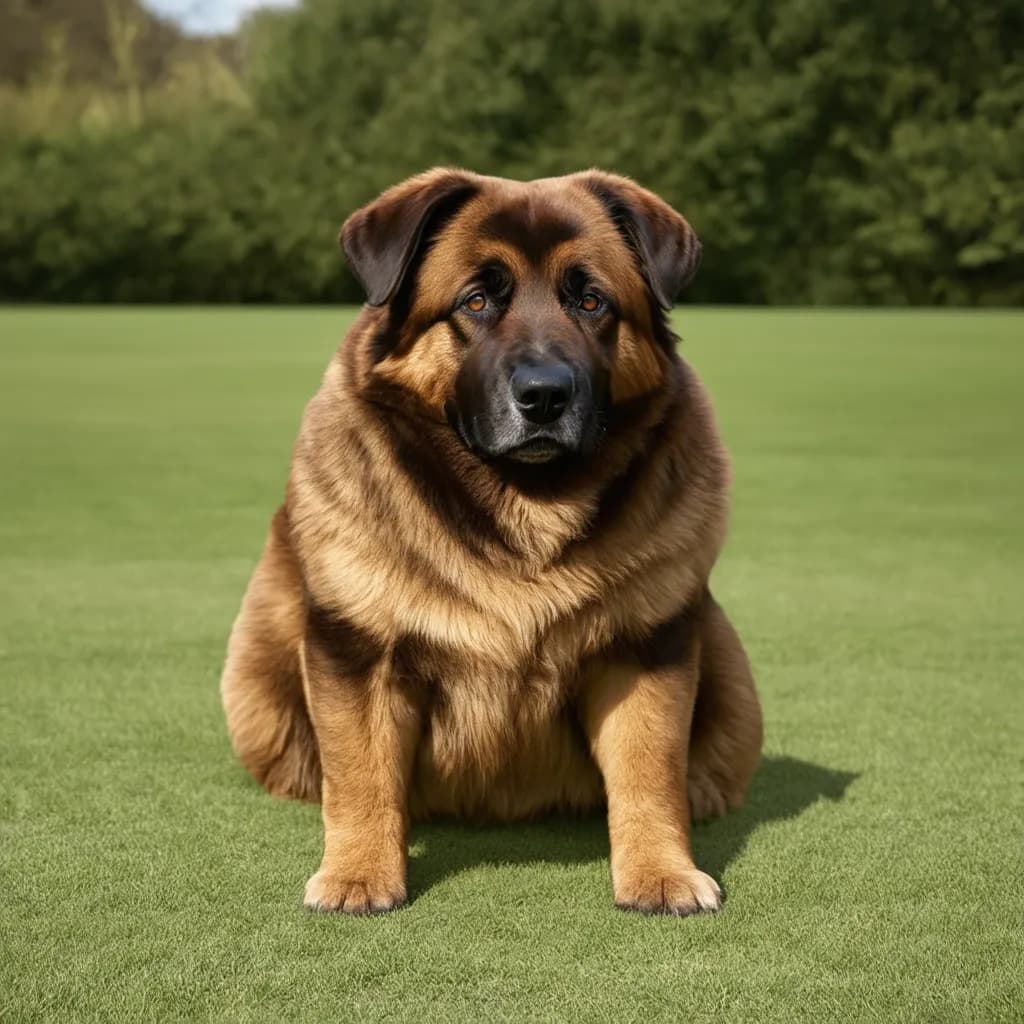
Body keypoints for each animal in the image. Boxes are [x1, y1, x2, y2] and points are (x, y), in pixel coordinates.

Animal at [220, 167, 761, 921]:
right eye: (476, 300)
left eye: (590, 300)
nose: (544, 394)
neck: (525, 506)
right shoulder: (359, 649)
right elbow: (361, 776)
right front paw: (357, 875)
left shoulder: (646, 648)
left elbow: (649, 772)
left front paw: (662, 873)